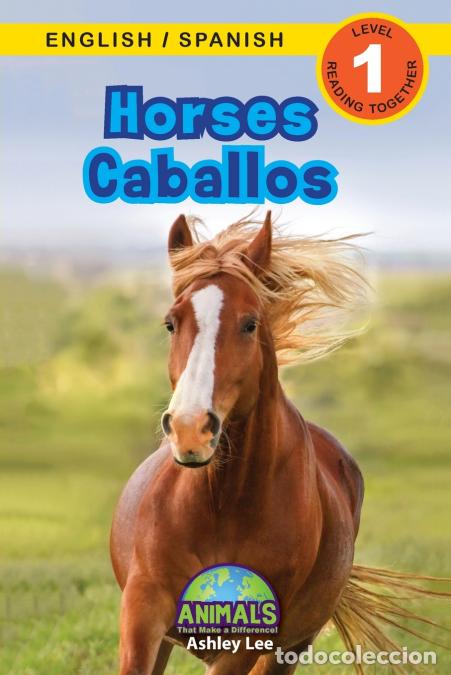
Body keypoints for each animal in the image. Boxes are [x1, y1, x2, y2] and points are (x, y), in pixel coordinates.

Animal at [110, 212, 448, 675]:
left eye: (250, 323)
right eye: (170, 323)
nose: (190, 429)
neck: (219, 507)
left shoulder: (246, 640)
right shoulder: (143, 613)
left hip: (289, 646)